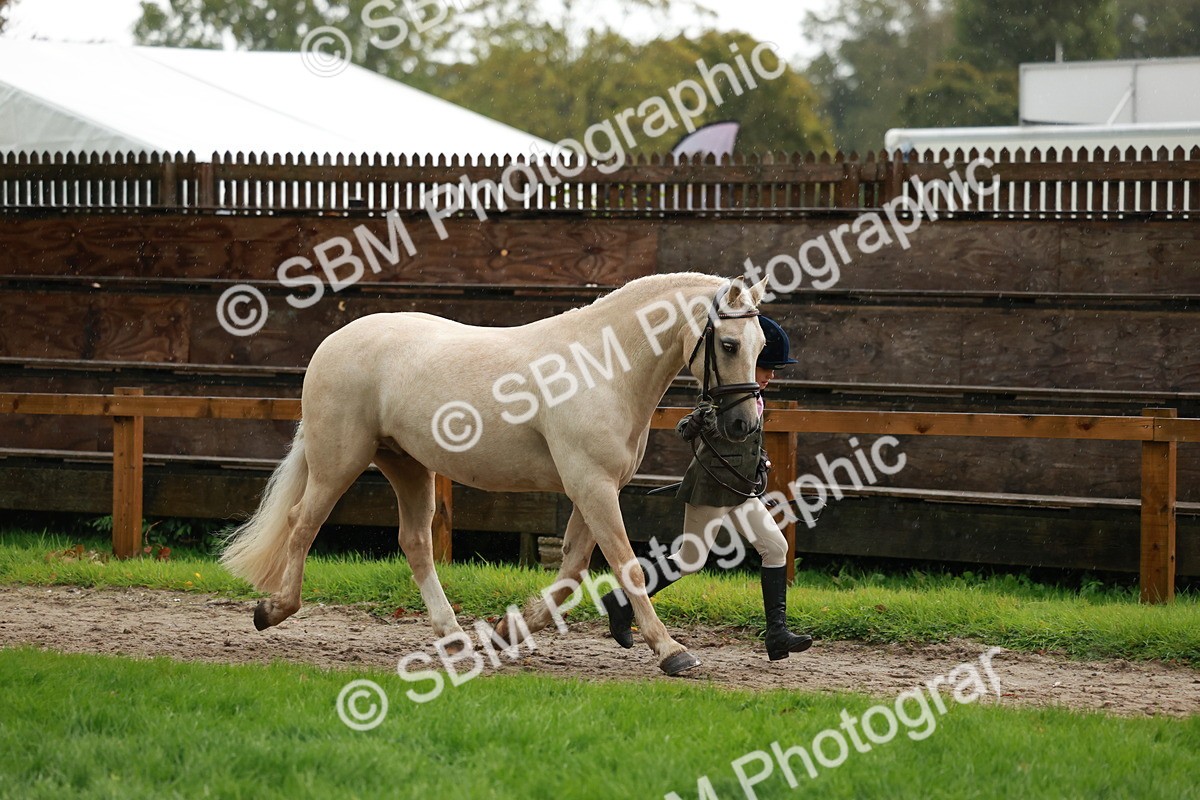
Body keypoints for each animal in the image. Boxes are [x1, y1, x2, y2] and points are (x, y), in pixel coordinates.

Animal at [220, 272, 769, 675]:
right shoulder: (591, 486)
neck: (603, 367)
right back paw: (272, 610)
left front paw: (507, 632)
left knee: (415, 542)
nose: (743, 424)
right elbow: (625, 565)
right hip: (340, 462)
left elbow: (571, 571)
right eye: (728, 344)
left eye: (761, 344)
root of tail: (334, 341)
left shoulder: (594, 487)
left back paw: (454, 636)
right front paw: (672, 651)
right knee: (301, 524)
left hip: (407, 465)